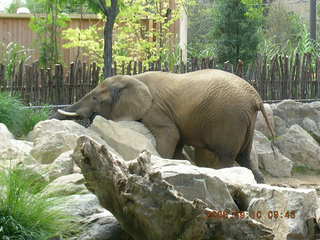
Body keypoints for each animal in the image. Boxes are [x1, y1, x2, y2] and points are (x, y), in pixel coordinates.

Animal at [51, 70, 274, 184]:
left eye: (96, 98)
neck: (133, 79)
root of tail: (255, 97)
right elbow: (178, 142)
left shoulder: (155, 109)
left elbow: (170, 135)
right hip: (244, 121)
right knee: (244, 157)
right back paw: (259, 181)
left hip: (230, 119)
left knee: (228, 157)